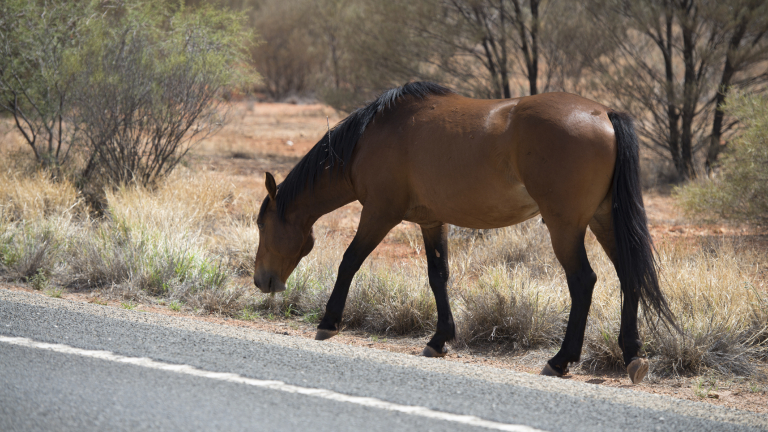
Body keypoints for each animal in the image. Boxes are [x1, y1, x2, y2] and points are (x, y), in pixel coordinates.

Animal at [252, 82, 672, 384]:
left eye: (260, 224)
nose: (261, 281)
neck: (370, 138)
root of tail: (604, 114)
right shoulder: (431, 222)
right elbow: (438, 276)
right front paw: (440, 339)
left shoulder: (379, 213)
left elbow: (349, 261)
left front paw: (328, 322)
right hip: (603, 221)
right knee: (628, 276)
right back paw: (632, 356)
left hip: (565, 226)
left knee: (583, 281)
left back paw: (561, 360)